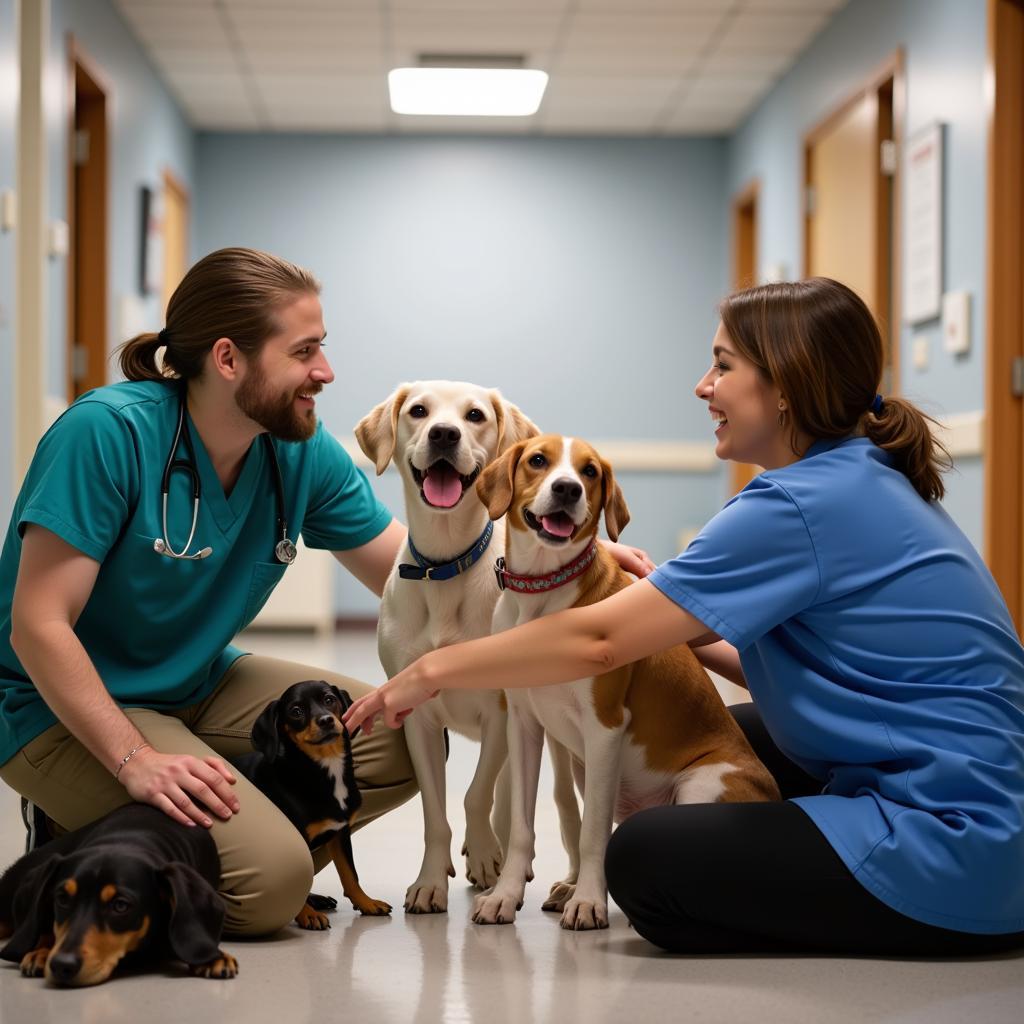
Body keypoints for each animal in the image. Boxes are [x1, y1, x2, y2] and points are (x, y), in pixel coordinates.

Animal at [0, 802, 234, 987]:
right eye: (63, 899)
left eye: (121, 905)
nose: (61, 965)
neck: (127, 839)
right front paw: (42, 952)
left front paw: (214, 958)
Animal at [235, 679, 391, 929]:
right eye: (296, 711)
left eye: (329, 699)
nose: (326, 720)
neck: (324, 769)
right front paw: (306, 914)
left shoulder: (340, 832)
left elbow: (350, 873)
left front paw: (366, 902)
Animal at [352, 382, 581, 913]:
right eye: (419, 411)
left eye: (474, 415)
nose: (443, 433)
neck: (443, 564)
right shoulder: (415, 716)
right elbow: (435, 814)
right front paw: (430, 882)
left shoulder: (499, 710)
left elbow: (476, 795)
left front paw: (482, 855)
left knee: (555, 802)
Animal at [471, 436, 774, 933]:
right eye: (538, 460)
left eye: (590, 471)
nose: (568, 489)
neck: (542, 596)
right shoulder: (525, 726)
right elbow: (521, 827)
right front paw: (506, 895)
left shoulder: (604, 727)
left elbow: (593, 833)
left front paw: (589, 904)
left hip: (697, 785)